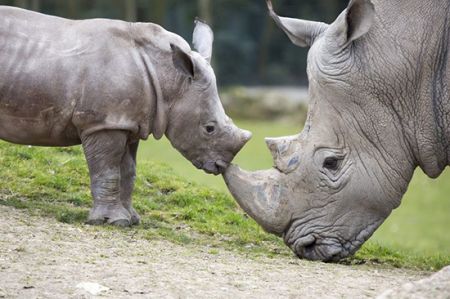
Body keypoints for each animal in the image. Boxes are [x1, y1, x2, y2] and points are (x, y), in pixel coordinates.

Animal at [0, 6, 250, 227]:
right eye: (209, 128)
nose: (220, 165)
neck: (169, 78)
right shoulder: (104, 123)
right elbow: (108, 171)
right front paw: (111, 221)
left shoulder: (127, 122)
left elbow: (128, 172)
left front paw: (131, 219)